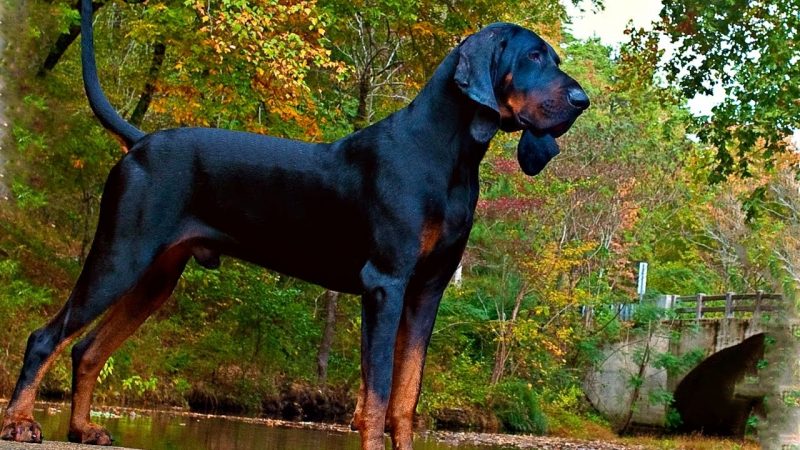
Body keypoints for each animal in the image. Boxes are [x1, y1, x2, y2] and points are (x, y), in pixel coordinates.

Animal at [0, 0, 588, 450]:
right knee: (46, 336)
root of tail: (139, 141)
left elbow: (405, 398)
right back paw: (21, 422)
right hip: (120, 255)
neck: (449, 155)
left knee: (86, 348)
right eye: (534, 56)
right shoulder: (386, 284)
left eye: (553, 57)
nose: (582, 100)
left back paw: (81, 430)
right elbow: (376, 397)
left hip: (156, 278)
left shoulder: (427, 293)